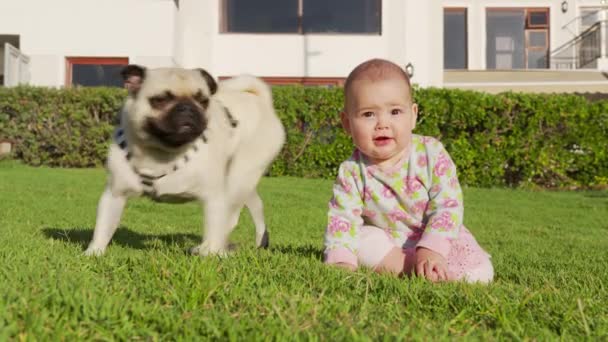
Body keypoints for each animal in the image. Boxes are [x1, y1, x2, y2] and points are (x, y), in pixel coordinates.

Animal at [84, 65, 286, 256]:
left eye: (203, 101)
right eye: (161, 100)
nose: (187, 108)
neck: (161, 154)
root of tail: (263, 103)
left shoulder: (214, 198)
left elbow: (214, 227)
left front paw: (211, 254)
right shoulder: (114, 195)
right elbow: (103, 228)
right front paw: (93, 253)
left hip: (240, 178)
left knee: (230, 217)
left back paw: (207, 248)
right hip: (239, 181)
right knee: (255, 205)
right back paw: (259, 241)